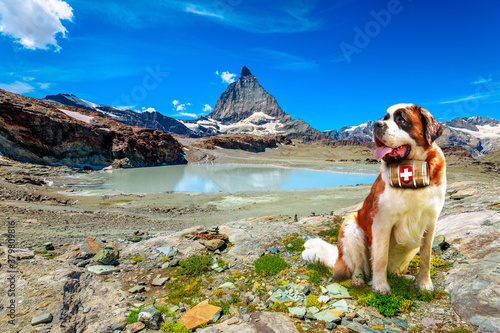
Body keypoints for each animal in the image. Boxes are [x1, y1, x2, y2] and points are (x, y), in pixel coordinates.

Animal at [302, 104, 448, 294]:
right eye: (384, 118)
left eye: (401, 119)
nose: (377, 125)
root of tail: (338, 261)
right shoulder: (382, 222)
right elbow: (380, 257)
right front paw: (380, 286)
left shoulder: (430, 222)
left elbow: (426, 257)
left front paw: (424, 284)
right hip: (351, 227)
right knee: (359, 268)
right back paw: (358, 281)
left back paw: (403, 277)